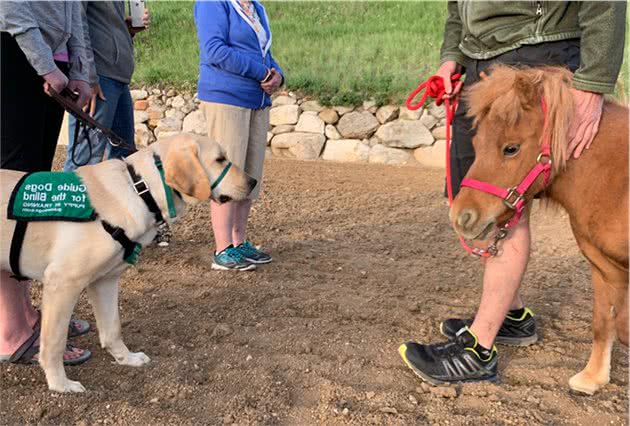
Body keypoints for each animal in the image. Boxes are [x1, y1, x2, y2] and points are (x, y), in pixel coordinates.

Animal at [0, 133, 256, 392]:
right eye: (220, 159)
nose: (253, 182)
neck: (140, 190)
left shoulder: (105, 281)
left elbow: (113, 329)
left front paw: (126, 358)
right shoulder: (62, 282)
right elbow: (54, 342)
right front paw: (60, 383)